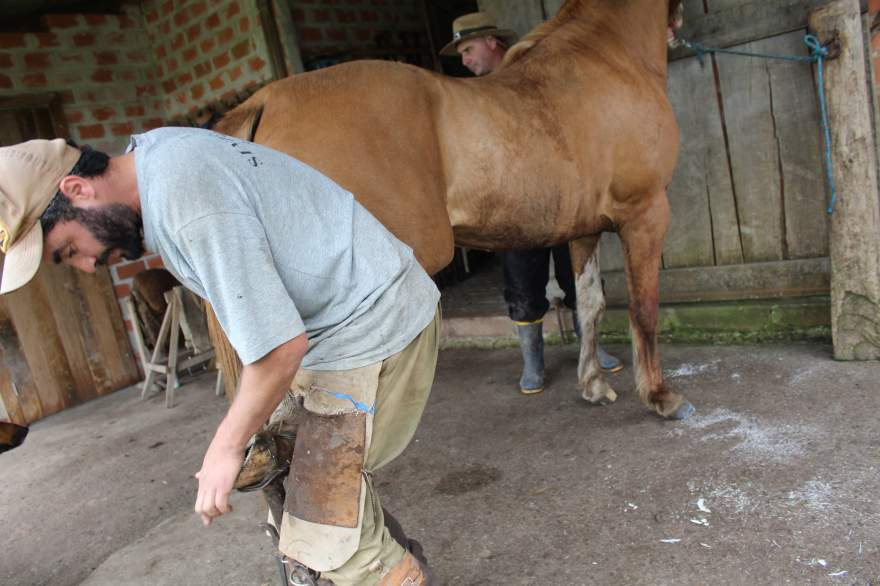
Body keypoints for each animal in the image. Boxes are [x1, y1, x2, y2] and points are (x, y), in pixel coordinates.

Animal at [210, 0, 692, 420]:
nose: (680, 27)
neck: (605, 58)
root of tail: (264, 102)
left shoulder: (584, 232)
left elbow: (589, 303)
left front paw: (593, 384)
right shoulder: (645, 214)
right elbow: (643, 308)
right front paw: (660, 396)